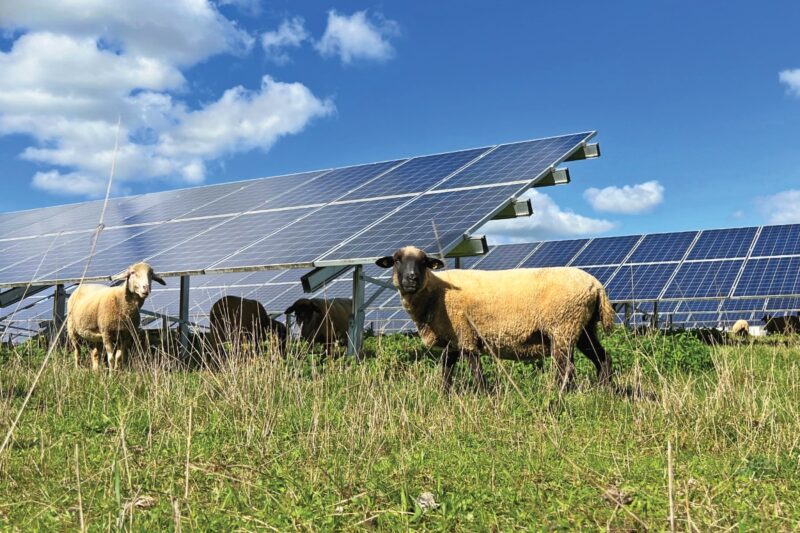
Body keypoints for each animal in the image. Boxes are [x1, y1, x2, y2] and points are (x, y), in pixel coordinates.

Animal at [378, 245, 616, 390]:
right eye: (397, 261)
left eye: (424, 262)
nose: (411, 279)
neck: (436, 293)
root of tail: (597, 285)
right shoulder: (452, 341)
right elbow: (446, 370)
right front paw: (444, 396)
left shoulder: (465, 334)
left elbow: (476, 371)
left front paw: (483, 396)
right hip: (583, 328)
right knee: (603, 358)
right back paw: (605, 390)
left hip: (563, 326)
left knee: (566, 368)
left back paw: (556, 396)